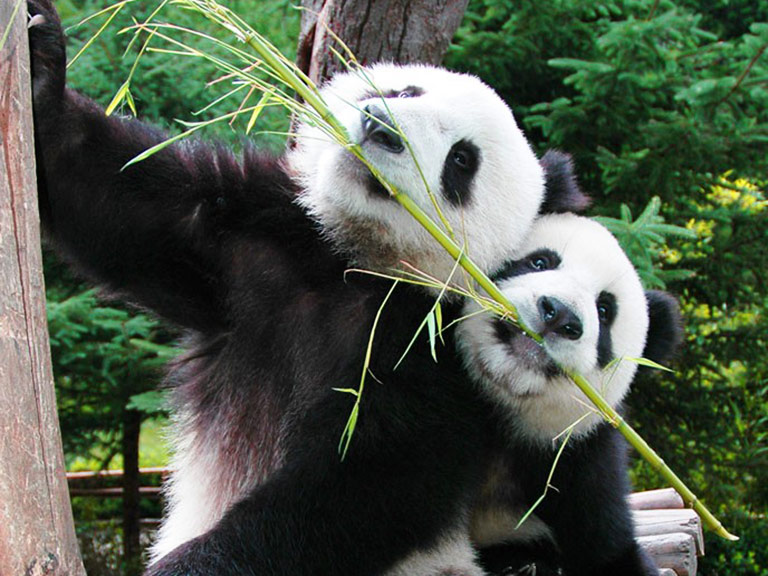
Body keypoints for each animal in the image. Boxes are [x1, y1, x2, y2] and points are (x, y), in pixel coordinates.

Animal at [25, 2, 588, 572]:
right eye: (407, 92)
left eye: (461, 161)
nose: (383, 127)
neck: (352, 262)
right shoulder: (253, 243)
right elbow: (122, 203)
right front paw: (40, 64)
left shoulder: (428, 351)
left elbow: (359, 491)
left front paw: (195, 563)